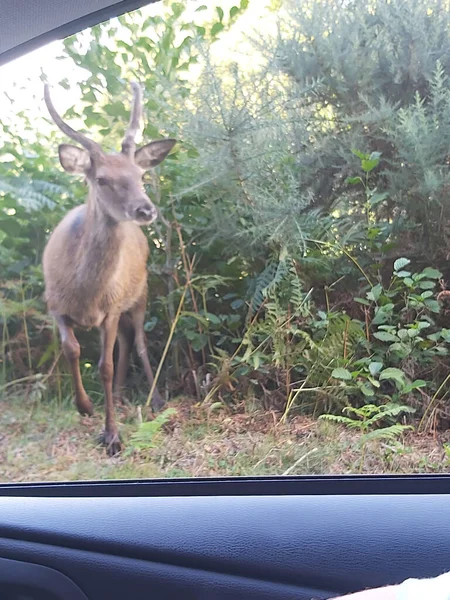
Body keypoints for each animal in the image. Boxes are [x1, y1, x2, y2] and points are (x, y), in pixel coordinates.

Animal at [42, 81, 176, 454]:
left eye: (140, 174)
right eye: (101, 179)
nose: (146, 210)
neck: (85, 294)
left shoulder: (112, 307)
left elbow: (105, 365)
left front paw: (112, 435)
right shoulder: (53, 303)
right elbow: (72, 349)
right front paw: (85, 406)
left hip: (141, 292)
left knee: (138, 342)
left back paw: (155, 400)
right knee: (127, 342)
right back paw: (115, 395)